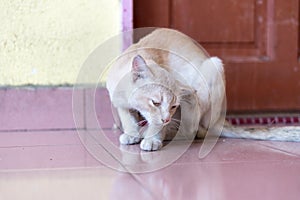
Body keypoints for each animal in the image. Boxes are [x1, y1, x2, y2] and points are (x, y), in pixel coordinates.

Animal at [106, 27, 300, 150]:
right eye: (156, 102)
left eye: (173, 106)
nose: (167, 119)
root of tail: (221, 119)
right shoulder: (119, 103)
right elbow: (127, 118)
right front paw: (132, 134)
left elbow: (157, 126)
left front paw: (151, 139)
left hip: (213, 67)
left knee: (194, 130)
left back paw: (163, 133)